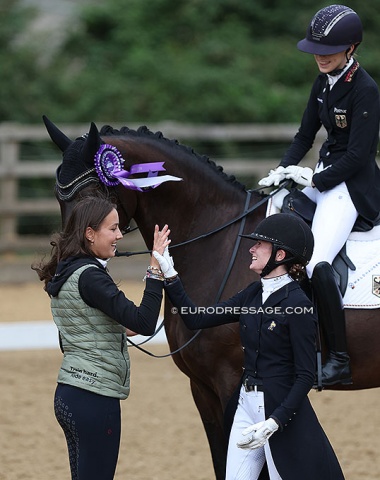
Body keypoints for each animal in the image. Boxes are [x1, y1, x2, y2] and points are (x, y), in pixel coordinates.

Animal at [43, 117, 380, 480]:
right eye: (59, 196)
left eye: (94, 195)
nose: (65, 265)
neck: (220, 242)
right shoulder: (202, 388)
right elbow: (223, 462)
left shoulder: (233, 382)